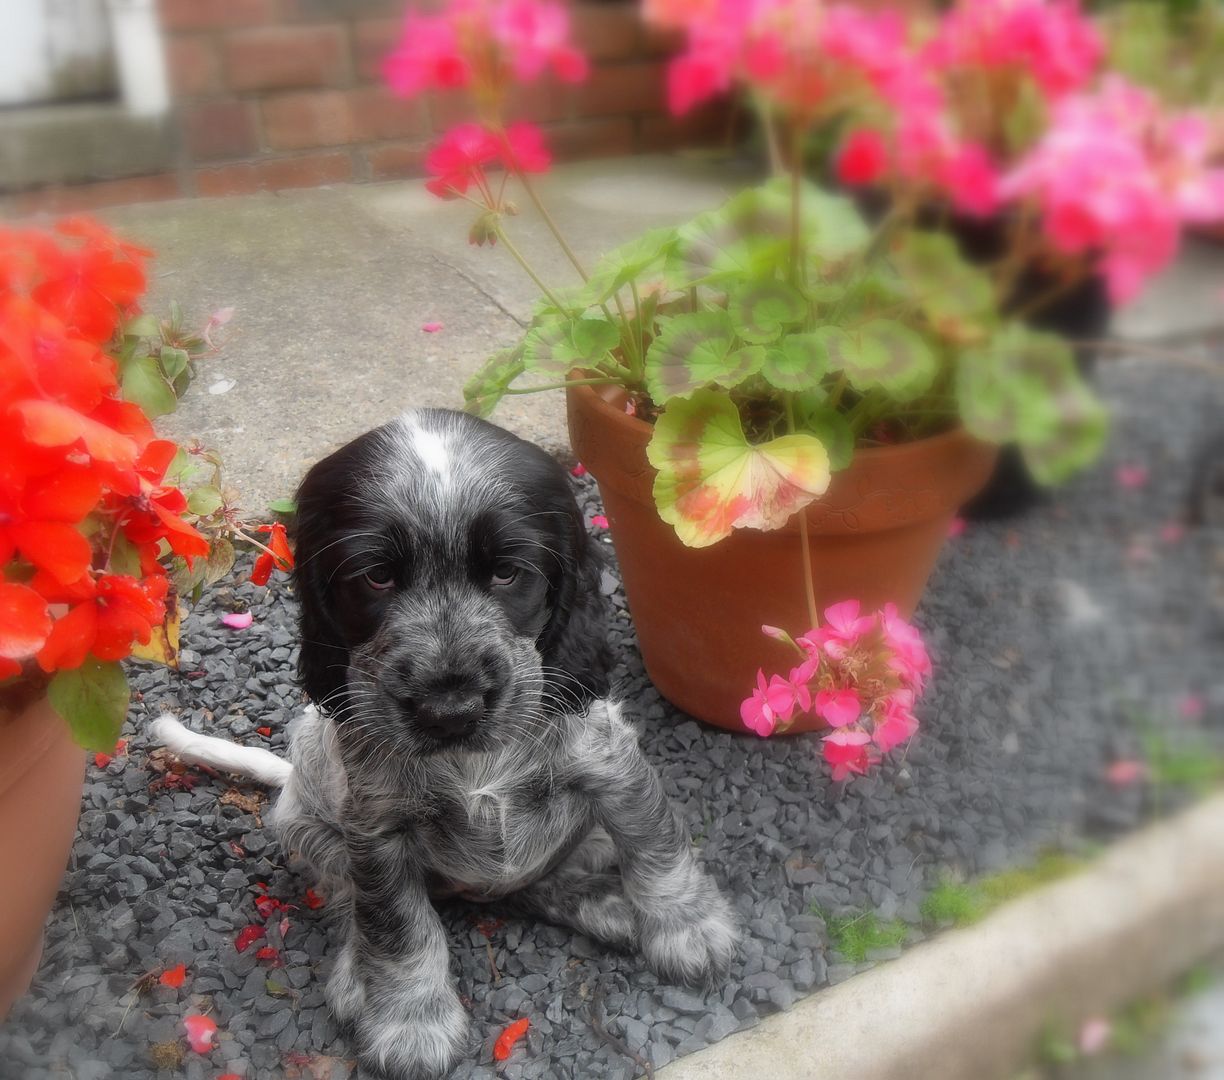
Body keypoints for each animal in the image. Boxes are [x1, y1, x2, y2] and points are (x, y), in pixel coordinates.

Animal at [157, 406, 739, 1077]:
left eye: (507, 572)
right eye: (377, 576)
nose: (450, 709)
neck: (471, 760)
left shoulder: (613, 766)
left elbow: (657, 850)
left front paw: (688, 930)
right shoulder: (377, 832)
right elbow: (398, 930)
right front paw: (411, 1023)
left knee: (544, 883)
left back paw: (613, 908)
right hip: (308, 831)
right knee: (352, 905)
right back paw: (358, 977)